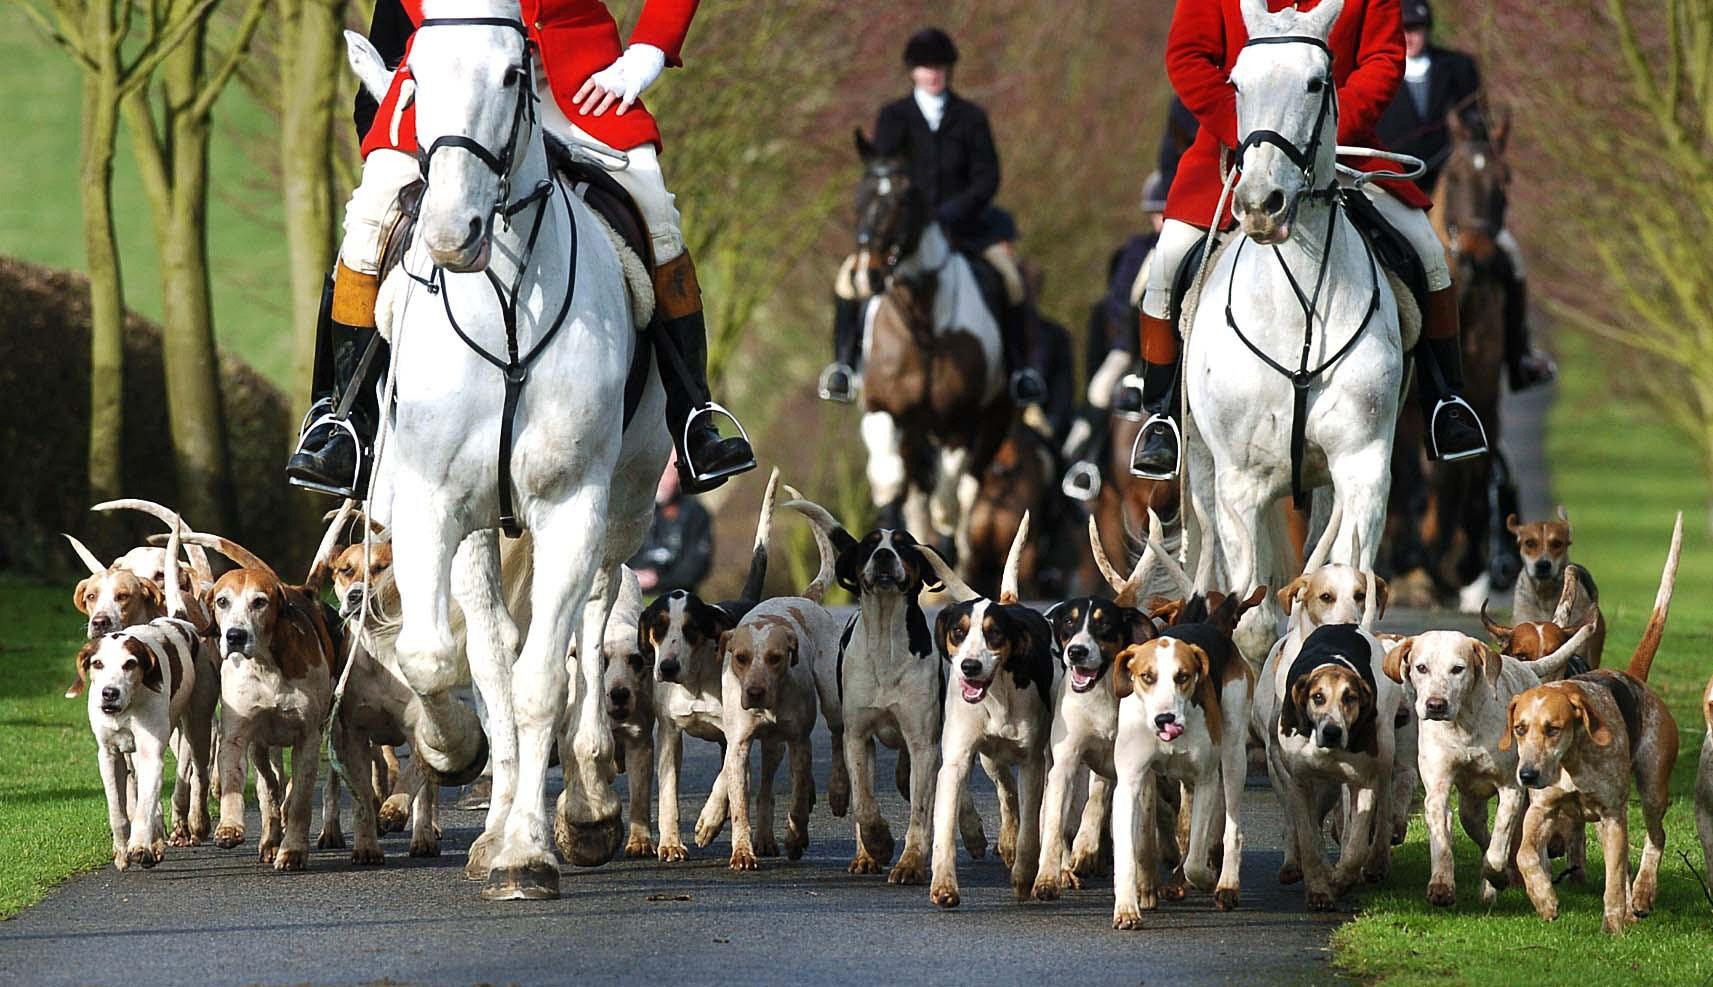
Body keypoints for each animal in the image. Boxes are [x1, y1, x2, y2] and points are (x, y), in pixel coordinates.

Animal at [356, 0, 668, 904]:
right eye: (415, 74)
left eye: (509, 72)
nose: (449, 232)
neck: (501, 306)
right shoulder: (433, 505)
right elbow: (441, 658)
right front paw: (451, 750)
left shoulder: (571, 505)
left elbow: (539, 683)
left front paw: (531, 848)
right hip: (478, 532)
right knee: (490, 647)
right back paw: (492, 815)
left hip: (620, 506)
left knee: (594, 620)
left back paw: (588, 800)